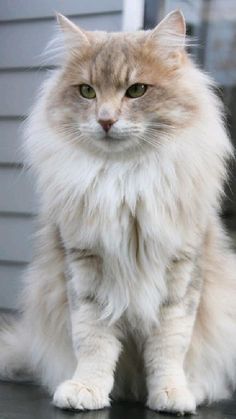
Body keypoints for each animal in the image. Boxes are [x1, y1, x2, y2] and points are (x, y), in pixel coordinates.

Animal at [0, 9, 236, 416]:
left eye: (137, 90)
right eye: (87, 92)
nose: (106, 120)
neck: (125, 179)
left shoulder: (182, 274)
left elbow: (169, 347)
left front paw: (171, 394)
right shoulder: (85, 268)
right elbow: (93, 342)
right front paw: (85, 390)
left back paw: (194, 388)